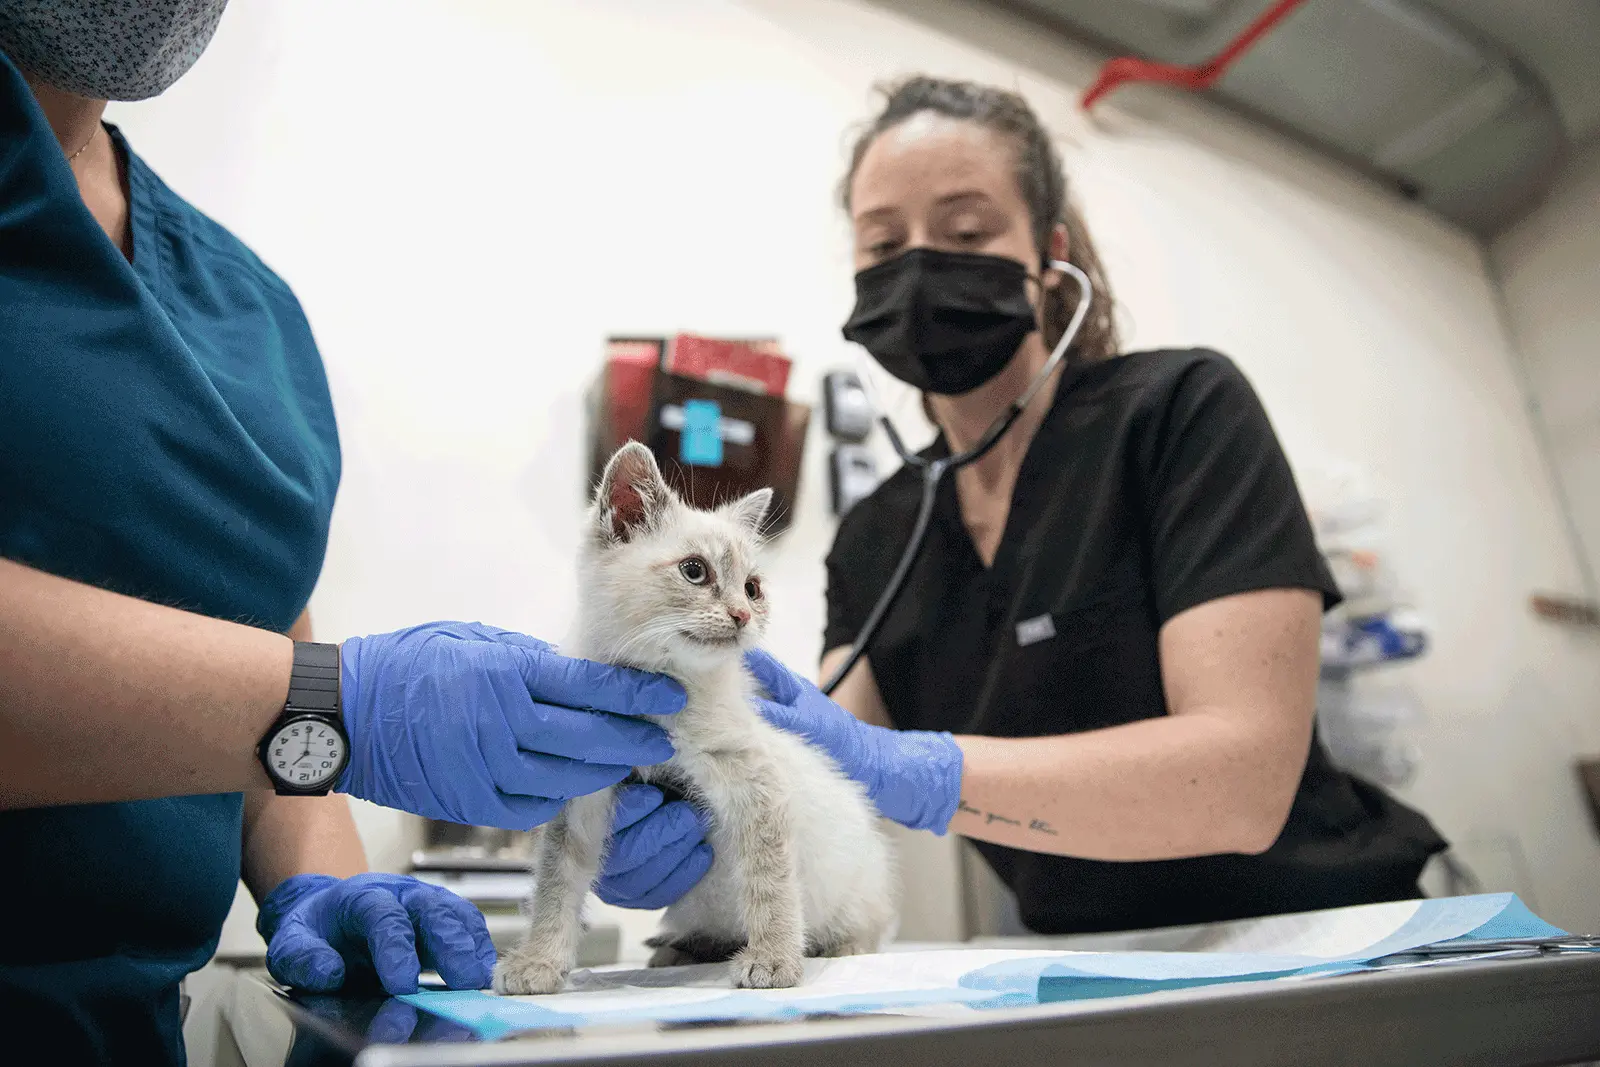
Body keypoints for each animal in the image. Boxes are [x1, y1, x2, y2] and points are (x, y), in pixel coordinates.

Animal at [492, 441, 896, 991]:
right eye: (694, 570)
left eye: (752, 588)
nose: (742, 616)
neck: (664, 700)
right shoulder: (583, 790)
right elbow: (556, 881)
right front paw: (538, 960)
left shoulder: (757, 783)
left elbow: (770, 880)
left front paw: (773, 958)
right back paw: (680, 950)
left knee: (863, 926)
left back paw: (840, 946)